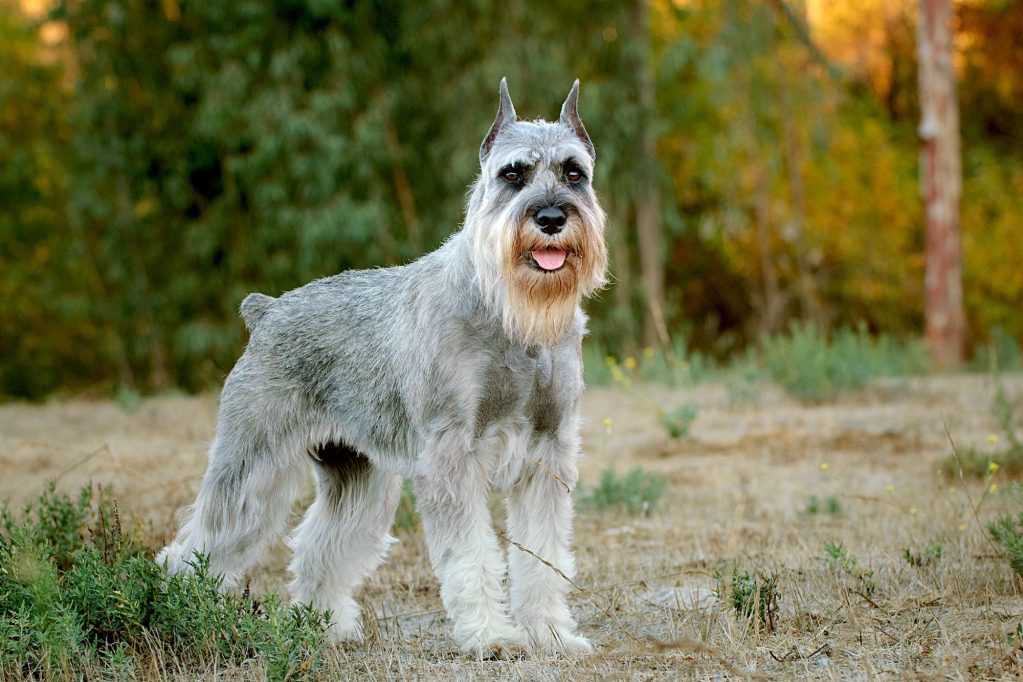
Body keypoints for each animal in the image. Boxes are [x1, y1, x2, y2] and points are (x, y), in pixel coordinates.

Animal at [157, 77, 605, 658]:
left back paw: (326, 625)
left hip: (358, 477)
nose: (551, 217)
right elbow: (471, 554)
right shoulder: (451, 454)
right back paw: (178, 612)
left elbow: (542, 556)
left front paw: (550, 633)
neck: (509, 314)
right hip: (253, 466)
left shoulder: (547, 452)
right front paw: (490, 636)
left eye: (575, 172)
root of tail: (266, 310)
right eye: (513, 175)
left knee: (320, 546)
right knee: (198, 542)